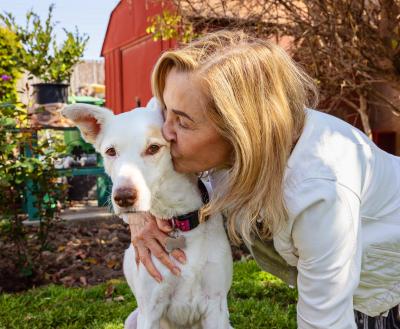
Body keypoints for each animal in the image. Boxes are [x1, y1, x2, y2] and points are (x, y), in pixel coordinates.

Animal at [61, 98, 233, 328]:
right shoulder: (150, 310)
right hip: (133, 318)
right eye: (111, 151)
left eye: (154, 148)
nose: (124, 197)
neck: (176, 220)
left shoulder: (216, 307)